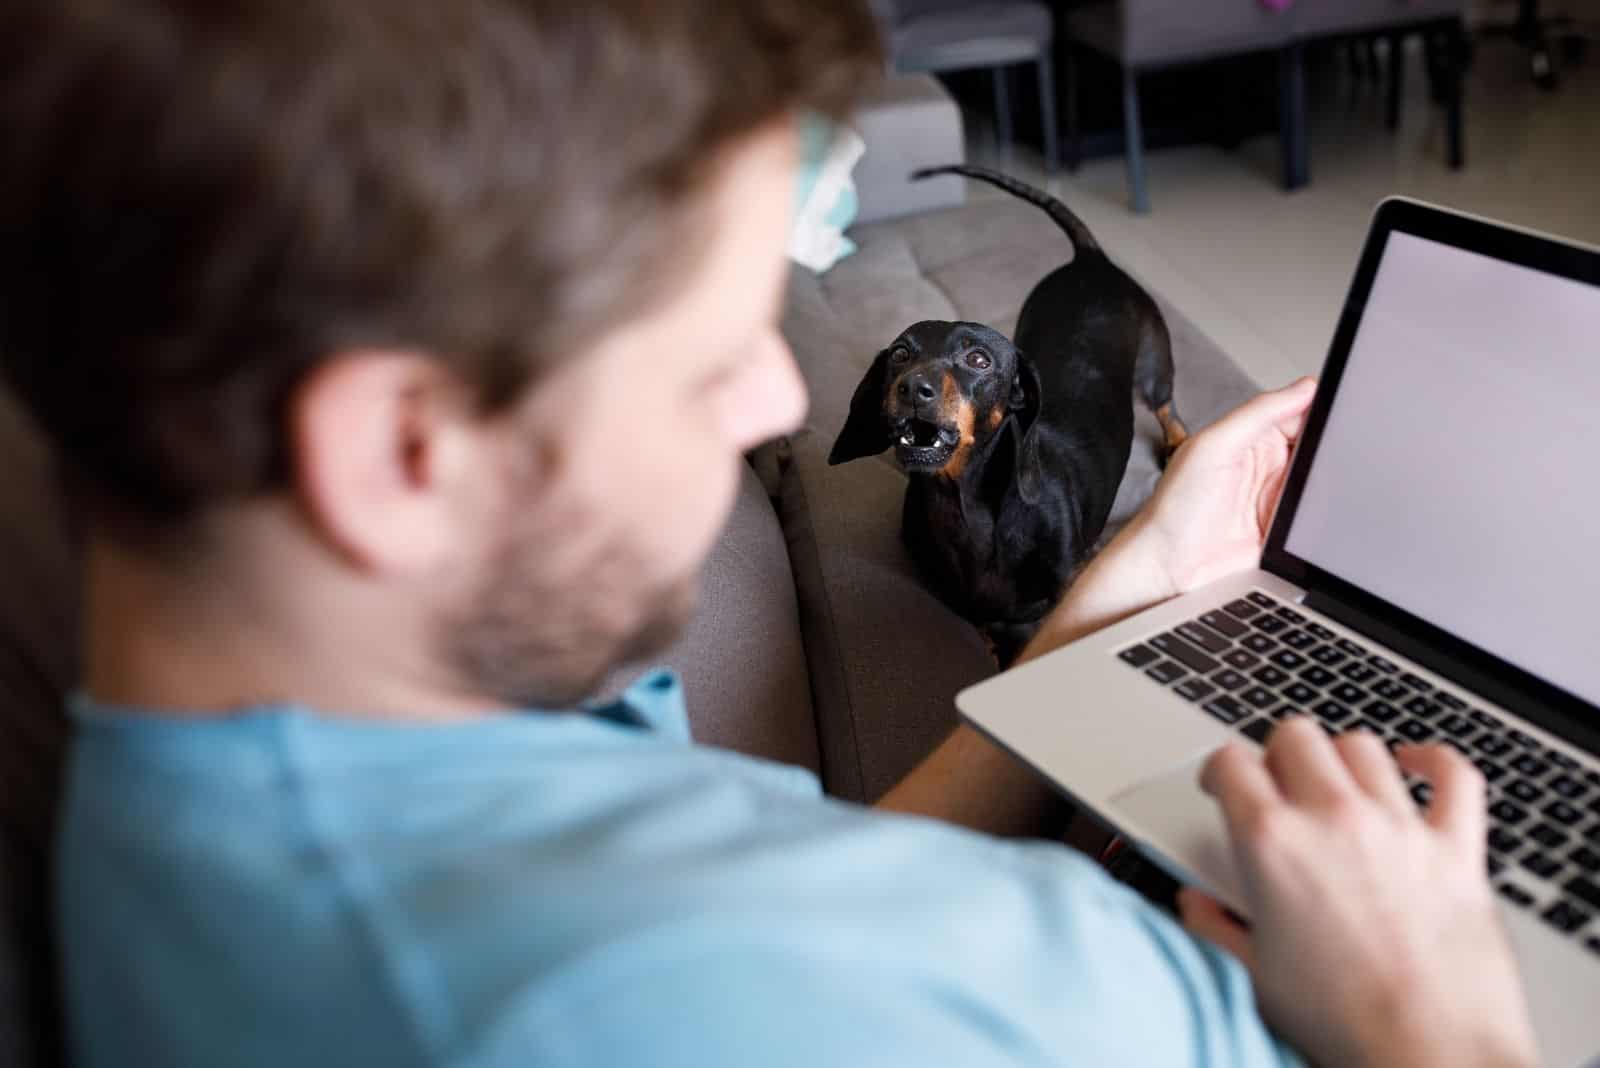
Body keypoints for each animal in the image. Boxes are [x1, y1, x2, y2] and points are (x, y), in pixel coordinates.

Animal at [825, 164, 1190, 668]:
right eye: (900, 354)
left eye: (979, 360)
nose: (912, 389)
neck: (967, 510)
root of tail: (1091, 260)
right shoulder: (966, 606)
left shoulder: (1070, 581)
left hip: (1155, 369)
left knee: (1167, 407)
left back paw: (1179, 443)